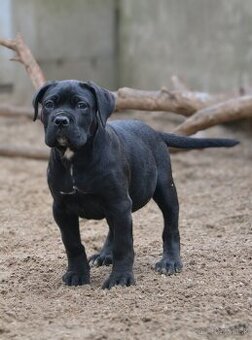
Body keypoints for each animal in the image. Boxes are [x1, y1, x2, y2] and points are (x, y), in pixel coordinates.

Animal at [33, 80, 238, 290]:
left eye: (82, 105)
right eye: (49, 104)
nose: (60, 120)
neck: (74, 157)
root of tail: (154, 131)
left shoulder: (119, 203)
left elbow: (124, 245)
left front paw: (120, 278)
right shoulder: (62, 208)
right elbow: (72, 243)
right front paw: (77, 274)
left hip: (165, 190)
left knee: (170, 227)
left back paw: (170, 261)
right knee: (113, 228)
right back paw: (105, 255)